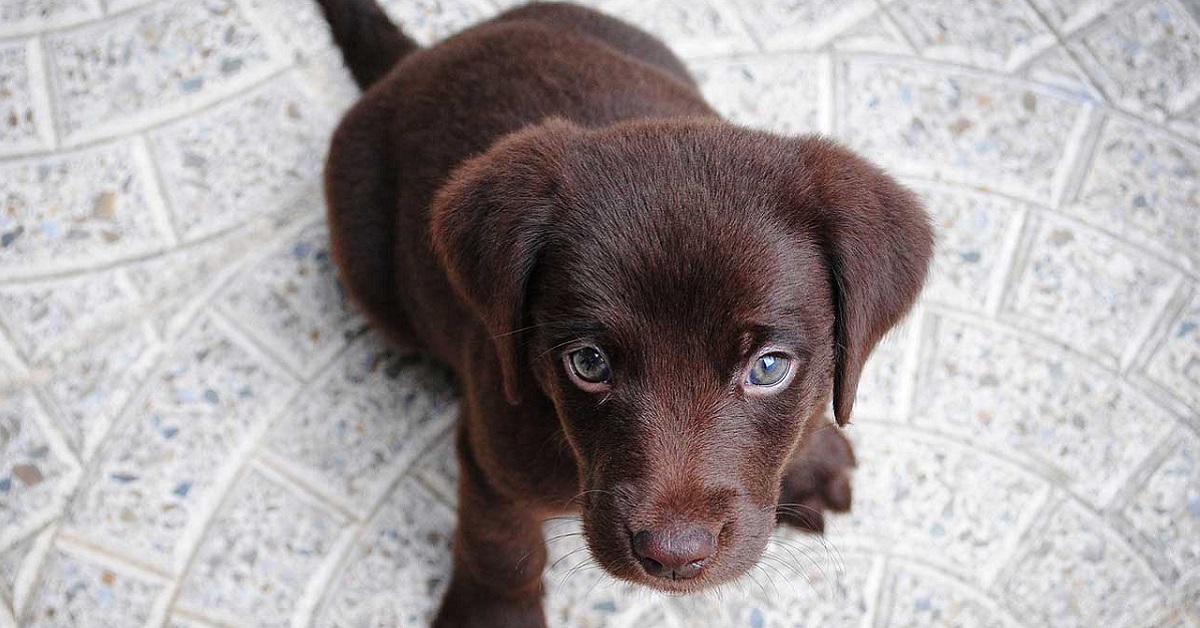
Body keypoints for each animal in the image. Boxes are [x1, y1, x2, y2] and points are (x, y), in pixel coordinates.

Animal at [314, 2, 931, 624]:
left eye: (768, 367)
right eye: (588, 364)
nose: (674, 556)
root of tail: (418, 59)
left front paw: (810, 456)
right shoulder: (493, 454)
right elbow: (502, 545)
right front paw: (495, 614)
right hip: (369, 267)